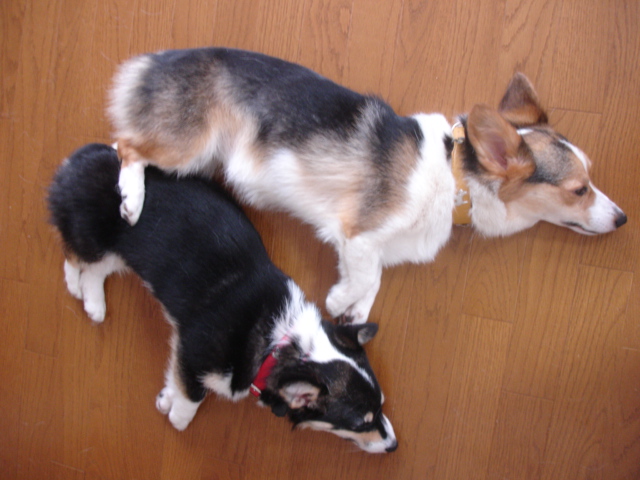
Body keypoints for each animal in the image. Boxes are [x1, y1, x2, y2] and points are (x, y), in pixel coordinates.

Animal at [47, 143, 398, 454]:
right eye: (360, 422)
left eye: (381, 407)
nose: (394, 446)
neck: (281, 343)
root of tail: (84, 156)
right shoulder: (192, 352)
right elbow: (193, 396)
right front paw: (177, 419)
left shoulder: (185, 358)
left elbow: (177, 384)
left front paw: (166, 399)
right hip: (93, 237)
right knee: (73, 256)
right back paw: (75, 286)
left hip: (122, 254)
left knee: (98, 270)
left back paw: (94, 304)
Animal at [108, 47, 627, 323]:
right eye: (579, 189)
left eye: (589, 181)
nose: (623, 218)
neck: (454, 176)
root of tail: (157, 61)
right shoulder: (357, 229)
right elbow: (366, 274)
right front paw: (340, 299)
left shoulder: (363, 242)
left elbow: (374, 276)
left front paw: (356, 310)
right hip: (190, 147)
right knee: (126, 146)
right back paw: (131, 199)